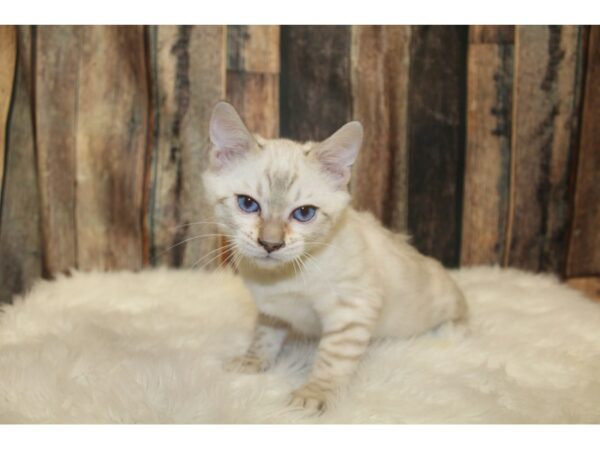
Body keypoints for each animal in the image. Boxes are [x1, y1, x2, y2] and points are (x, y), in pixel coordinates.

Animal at [203, 102, 468, 414]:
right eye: (247, 204)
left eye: (304, 213)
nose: (270, 244)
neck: (280, 277)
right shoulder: (271, 310)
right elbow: (264, 336)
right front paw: (253, 362)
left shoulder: (351, 309)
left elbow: (331, 360)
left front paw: (312, 396)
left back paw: (453, 331)